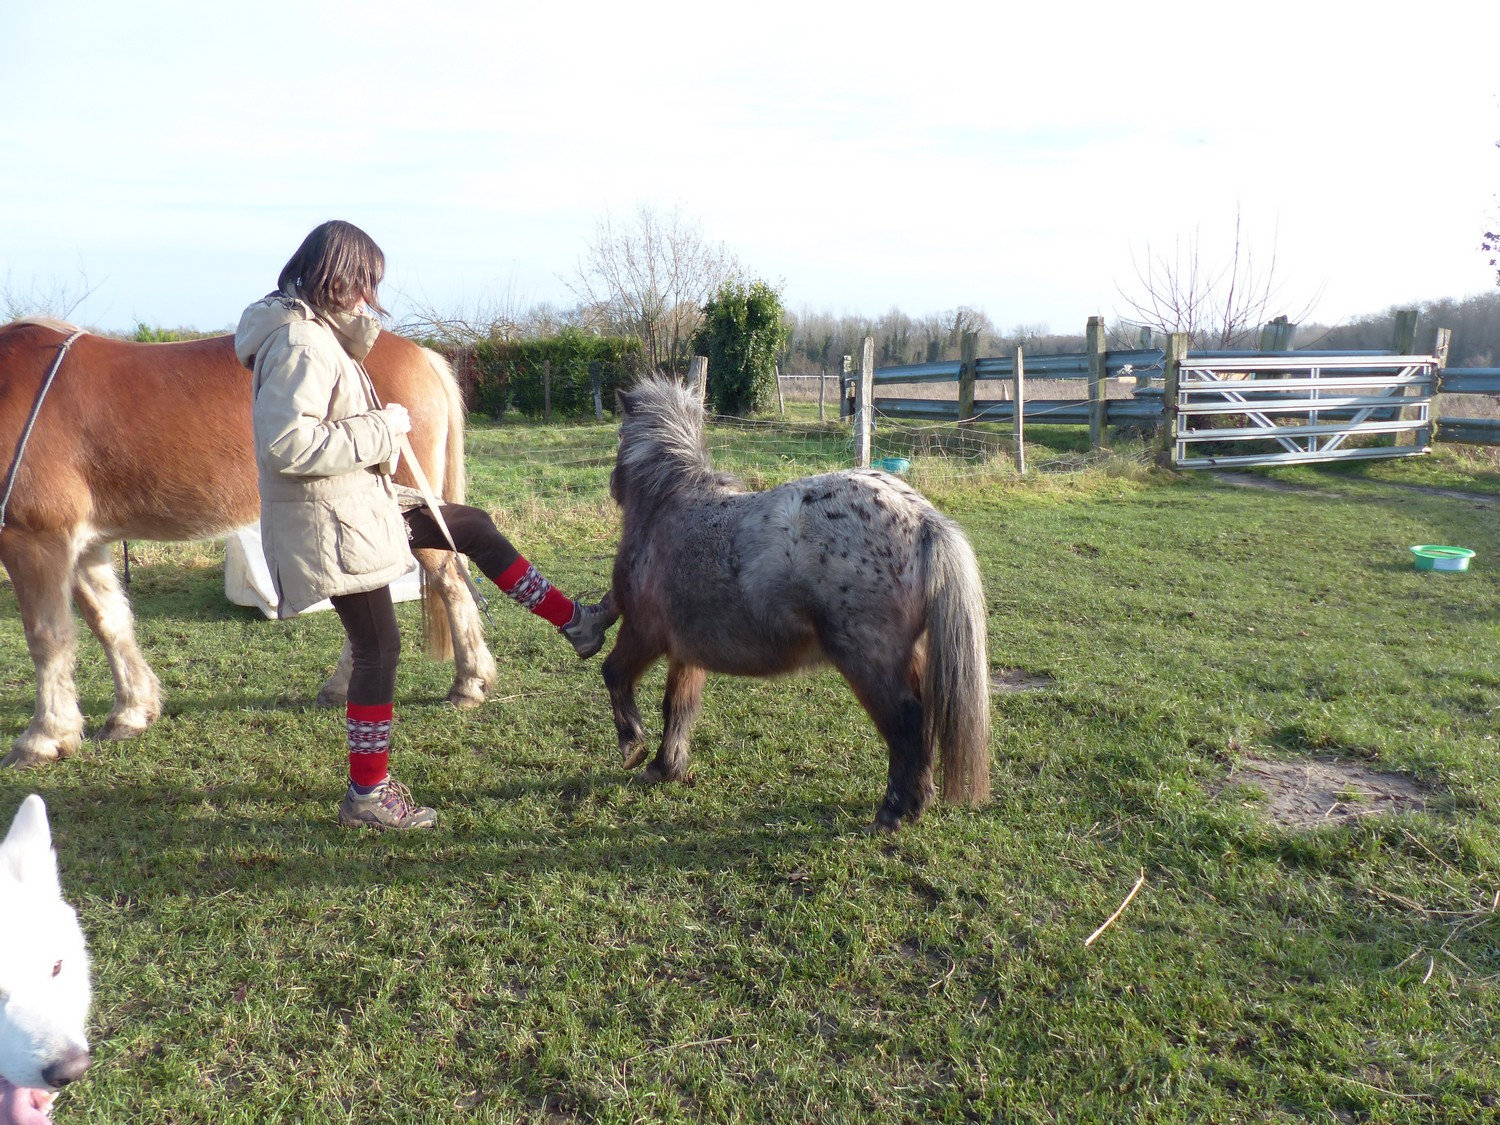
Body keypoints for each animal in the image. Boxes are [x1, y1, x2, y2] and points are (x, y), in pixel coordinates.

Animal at [0, 318, 498, 768]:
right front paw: (131, 712)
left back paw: (469, 683)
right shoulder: (83, 544)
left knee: (452, 582)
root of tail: (423, 355)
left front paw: (43, 737)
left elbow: (47, 638)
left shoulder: (35, 539)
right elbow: (111, 623)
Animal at [602, 376, 992, 830]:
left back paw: (894, 811)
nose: (612, 484)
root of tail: (920, 515)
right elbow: (677, 708)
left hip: (868, 662)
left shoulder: (644, 632)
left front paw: (632, 746)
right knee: (922, 718)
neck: (666, 506)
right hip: (904, 656)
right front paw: (666, 766)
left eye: (619, 434)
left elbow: (614, 673)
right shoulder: (687, 650)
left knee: (905, 723)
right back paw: (917, 801)